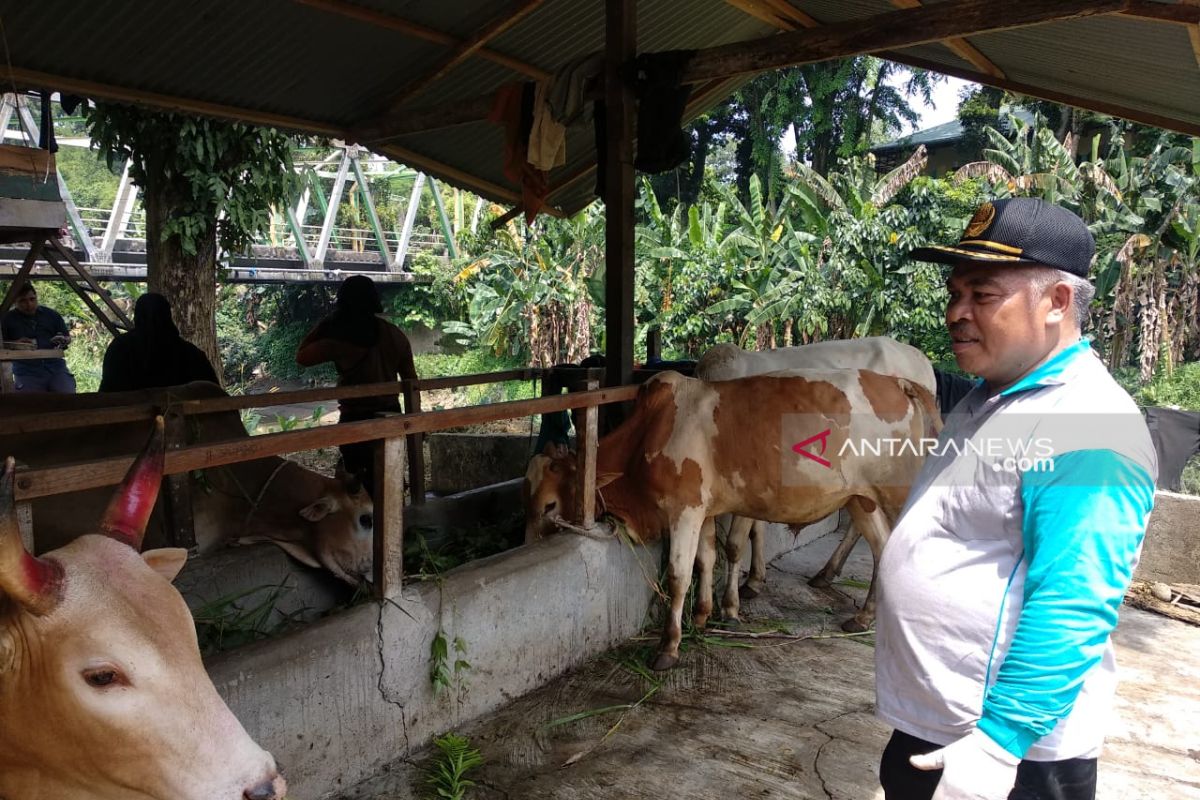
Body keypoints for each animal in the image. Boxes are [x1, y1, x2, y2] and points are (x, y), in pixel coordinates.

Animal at [523, 369, 936, 671]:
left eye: (548, 505)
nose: (527, 545)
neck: (649, 432)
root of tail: (898, 382)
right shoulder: (705, 512)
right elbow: (706, 560)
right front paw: (704, 616)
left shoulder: (685, 510)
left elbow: (679, 575)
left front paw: (669, 647)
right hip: (860, 501)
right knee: (882, 550)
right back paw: (863, 618)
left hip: (896, 494)